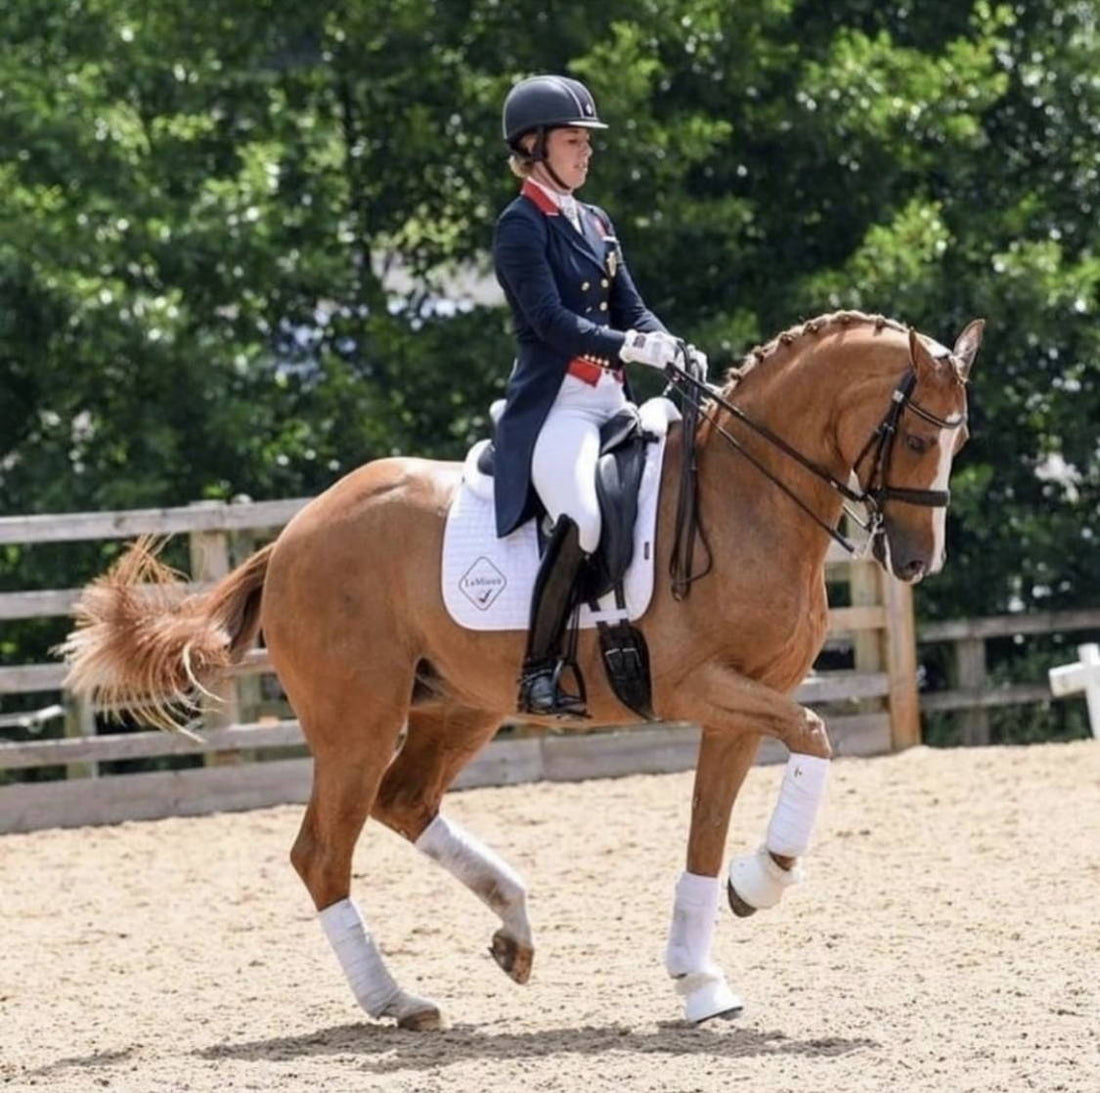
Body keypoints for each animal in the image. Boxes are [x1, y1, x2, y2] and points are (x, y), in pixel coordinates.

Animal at [64, 310, 985, 1024]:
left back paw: (515, 929)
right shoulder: (706, 688)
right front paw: (763, 881)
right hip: (356, 721)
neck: (744, 499)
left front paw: (700, 977)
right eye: (912, 435)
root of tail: (293, 533)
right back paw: (397, 999)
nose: (916, 561)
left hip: (459, 705)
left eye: (961, 438)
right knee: (323, 851)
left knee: (405, 802)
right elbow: (818, 737)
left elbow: (709, 827)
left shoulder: (742, 703)